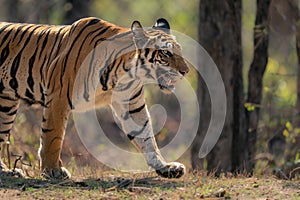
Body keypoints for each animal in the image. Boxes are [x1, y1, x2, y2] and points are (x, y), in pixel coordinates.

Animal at [0, 17, 189, 179]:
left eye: (180, 51)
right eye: (166, 53)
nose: (186, 71)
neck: (126, 74)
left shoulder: (132, 106)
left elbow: (147, 137)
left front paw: (165, 167)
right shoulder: (58, 97)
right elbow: (52, 137)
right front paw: (52, 170)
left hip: (6, 104)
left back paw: (6, 172)